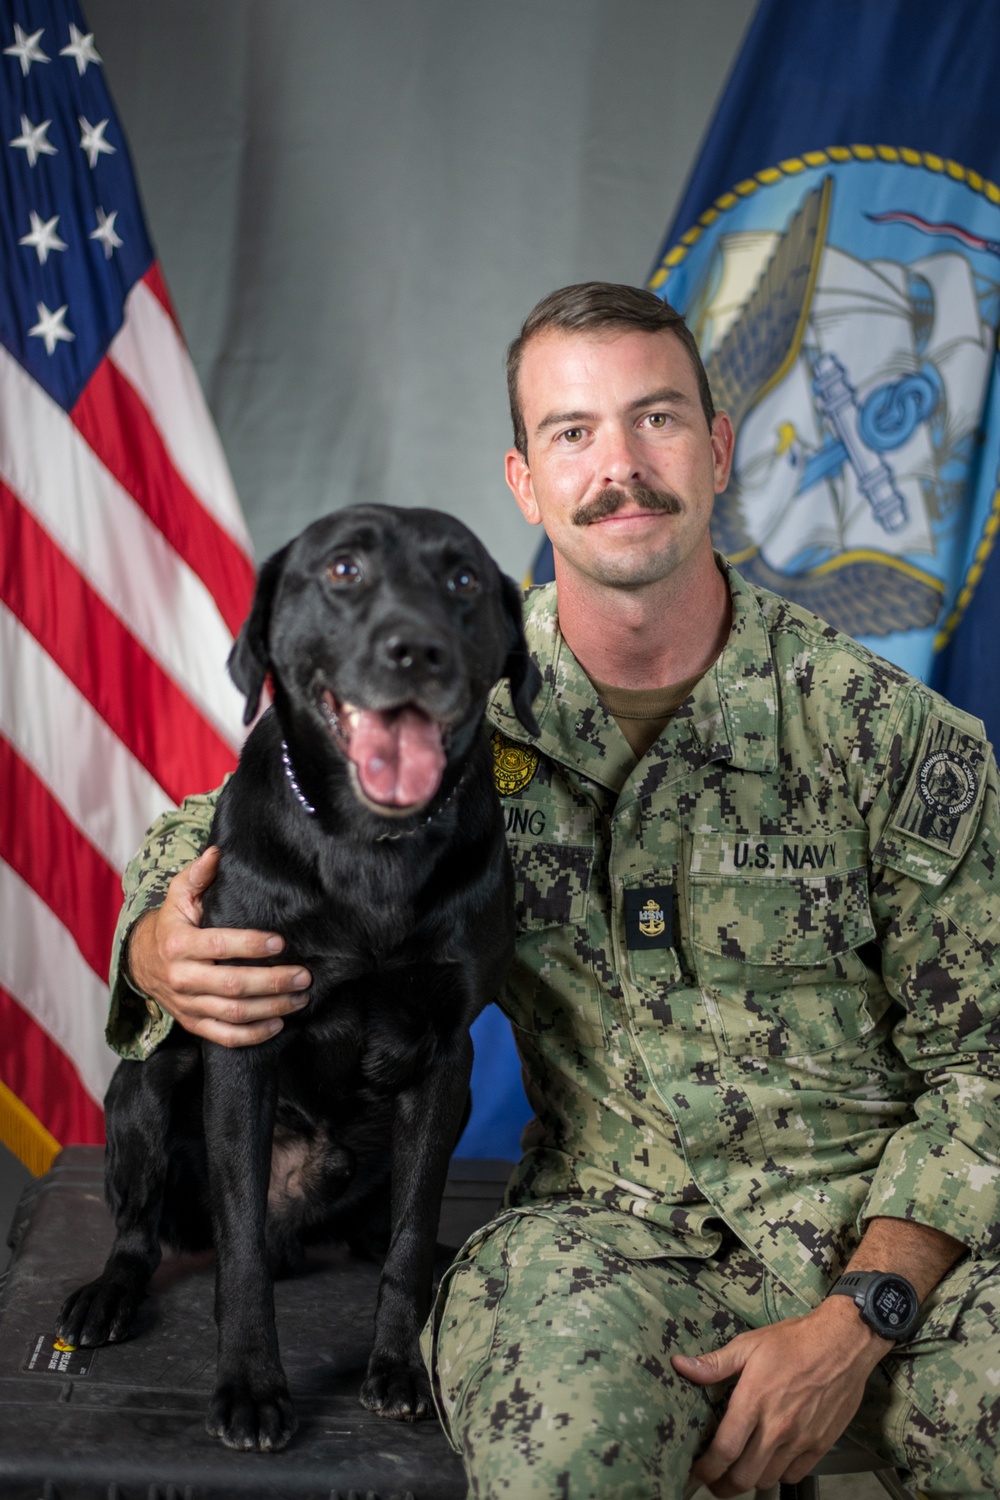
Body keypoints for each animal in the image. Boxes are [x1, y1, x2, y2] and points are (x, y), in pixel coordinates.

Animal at [56, 504, 539, 1452]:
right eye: (344, 569)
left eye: (463, 579)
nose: (416, 649)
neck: (367, 844)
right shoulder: (242, 1035)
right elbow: (239, 1251)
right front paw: (250, 1384)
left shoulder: (446, 1056)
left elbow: (411, 1229)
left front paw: (400, 1362)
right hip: (146, 1082)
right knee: (143, 1227)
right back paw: (109, 1294)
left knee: (382, 1228)